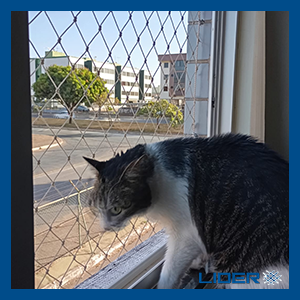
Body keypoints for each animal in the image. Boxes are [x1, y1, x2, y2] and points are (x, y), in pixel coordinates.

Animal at [82, 133, 288, 288]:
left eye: (116, 209)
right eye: (97, 208)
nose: (105, 227)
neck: (158, 173)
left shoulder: (185, 233)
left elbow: (170, 269)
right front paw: (200, 262)